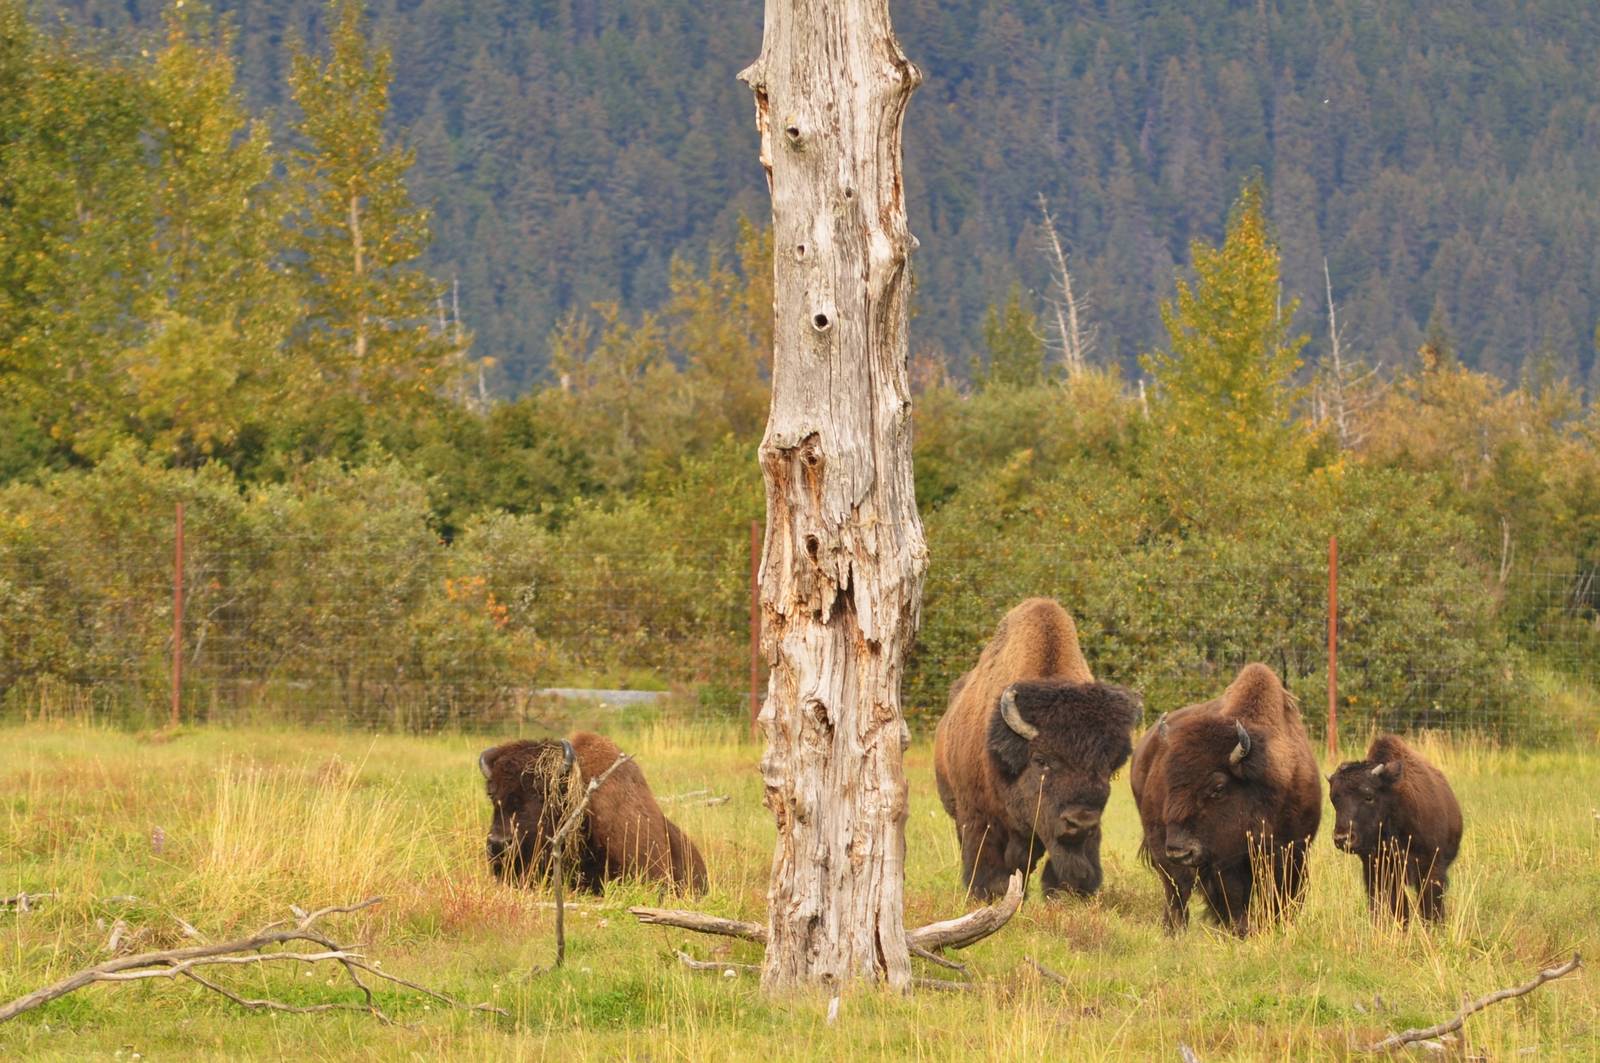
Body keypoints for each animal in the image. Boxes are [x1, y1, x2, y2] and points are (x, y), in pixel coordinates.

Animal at [1130, 663, 1321, 933]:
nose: (1180, 850)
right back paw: (1174, 929)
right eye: (1169, 781)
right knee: (1176, 892)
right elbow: (1235, 901)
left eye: (1218, 787)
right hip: (1162, 851)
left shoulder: (1295, 852)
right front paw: (1240, 931)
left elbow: (1283, 899)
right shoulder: (1226, 864)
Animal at [1328, 734, 1462, 923]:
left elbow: (1430, 908)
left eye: (1368, 796)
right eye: (1334, 799)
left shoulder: (1432, 869)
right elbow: (1397, 908)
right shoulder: (1380, 871)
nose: (1342, 838)